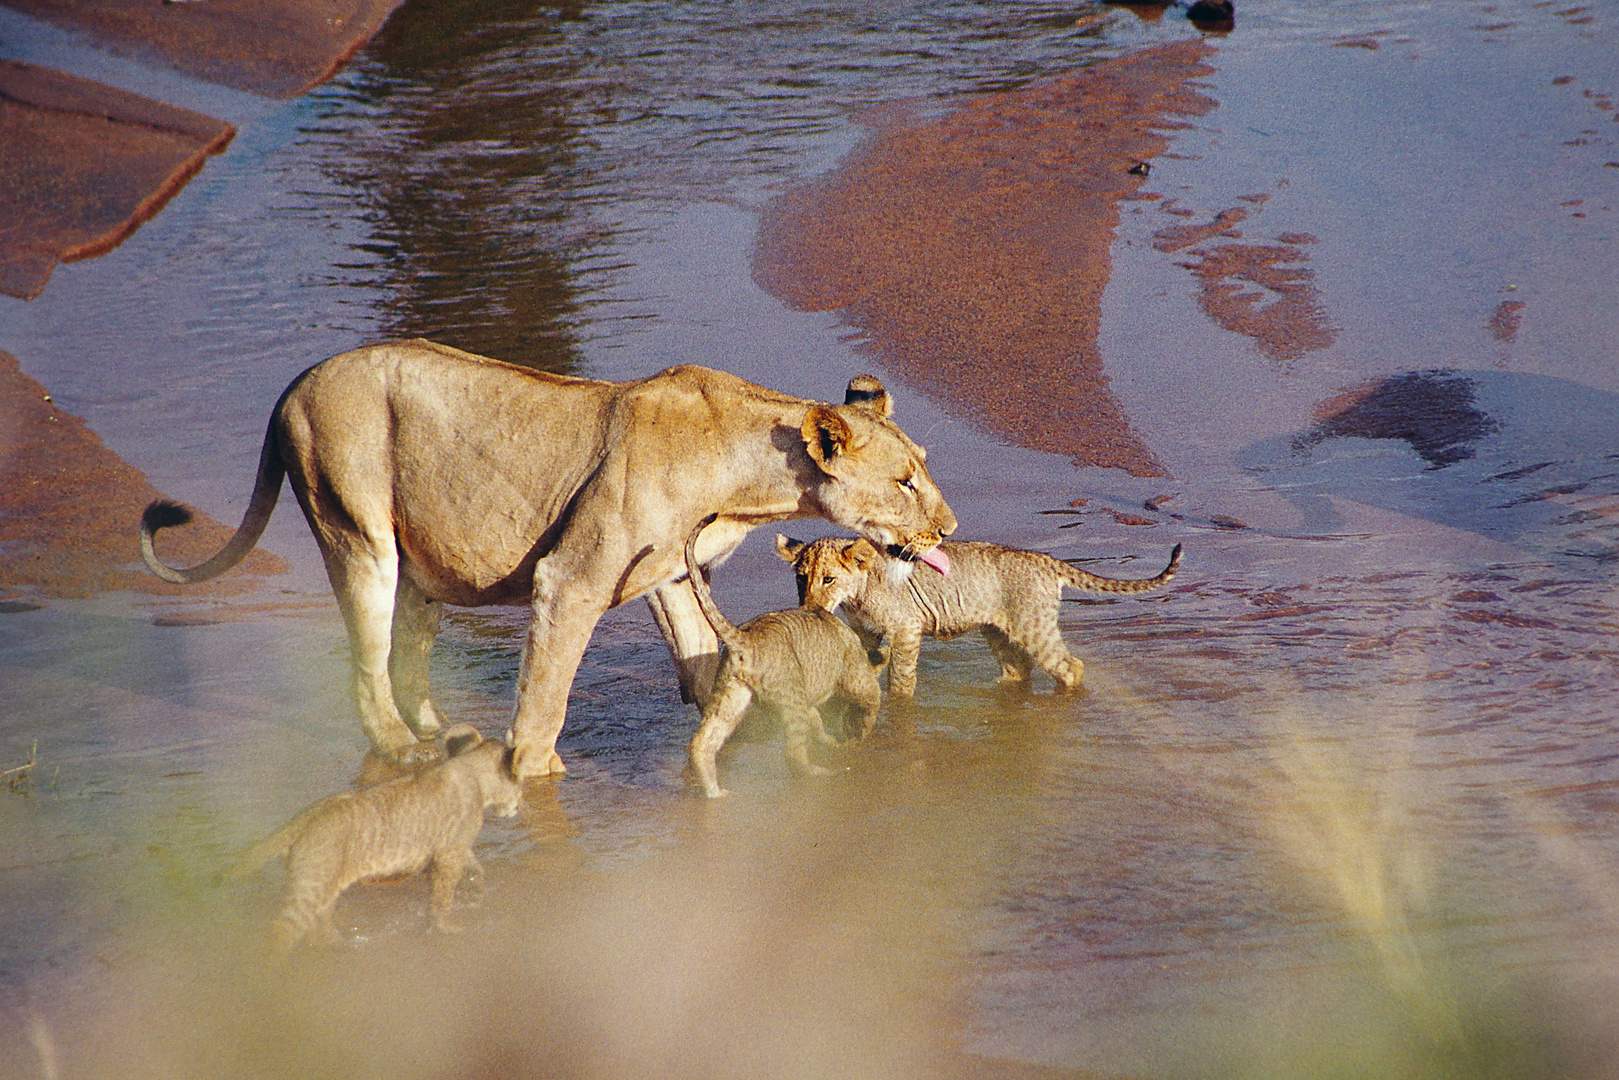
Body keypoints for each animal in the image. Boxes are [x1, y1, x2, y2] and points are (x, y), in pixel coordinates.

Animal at [139, 340, 951, 777]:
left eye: (925, 465)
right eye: (905, 482)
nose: (946, 529)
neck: (751, 479)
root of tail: (293, 386)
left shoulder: (669, 574)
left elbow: (699, 657)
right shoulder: (571, 578)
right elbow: (546, 696)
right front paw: (533, 775)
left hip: (420, 570)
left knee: (406, 658)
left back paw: (446, 735)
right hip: (356, 530)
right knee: (365, 668)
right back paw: (406, 752)